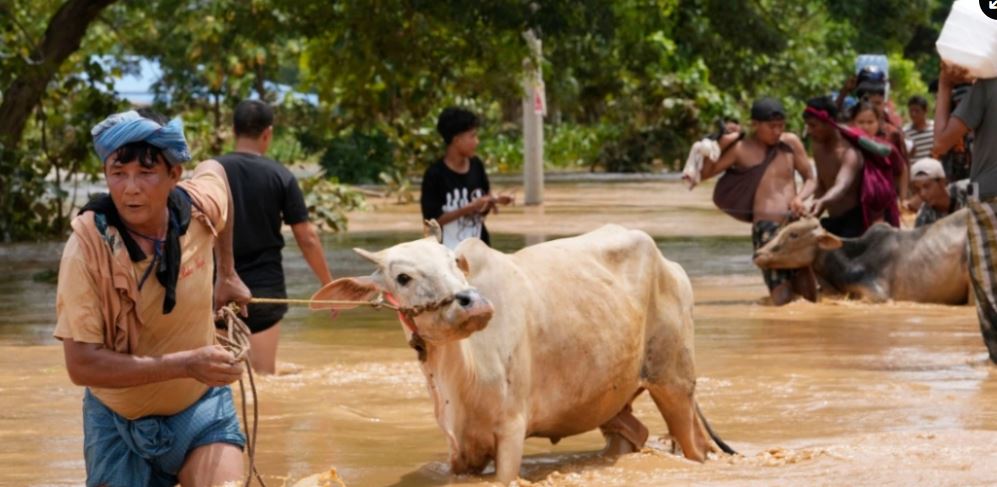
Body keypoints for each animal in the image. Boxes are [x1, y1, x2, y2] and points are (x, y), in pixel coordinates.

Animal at [316, 224, 736, 484]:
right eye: (403, 277)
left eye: (454, 263)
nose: (474, 304)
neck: (460, 374)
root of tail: (671, 266)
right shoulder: (458, 449)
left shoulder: (511, 430)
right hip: (612, 399)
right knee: (634, 433)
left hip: (674, 383)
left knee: (694, 446)